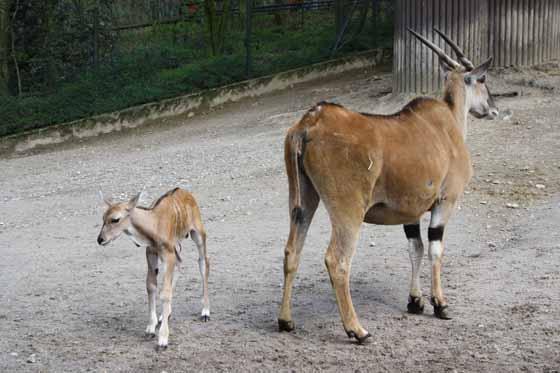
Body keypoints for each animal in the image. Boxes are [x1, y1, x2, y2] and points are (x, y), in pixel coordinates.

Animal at [96, 187, 210, 348]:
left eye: (115, 219)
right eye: (103, 218)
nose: (100, 239)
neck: (154, 224)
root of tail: (185, 192)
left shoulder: (167, 255)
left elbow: (165, 292)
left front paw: (163, 339)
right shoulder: (151, 252)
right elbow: (151, 286)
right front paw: (150, 328)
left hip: (198, 234)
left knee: (203, 262)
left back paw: (205, 312)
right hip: (175, 247)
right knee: (180, 262)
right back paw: (165, 315)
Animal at [278, 28, 496, 342]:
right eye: (482, 79)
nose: (492, 108)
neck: (448, 124)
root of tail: (310, 121)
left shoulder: (410, 212)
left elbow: (416, 247)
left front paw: (415, 301)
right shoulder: (445, 201)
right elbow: (435, 248)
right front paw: (440, 304)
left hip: (303, 202)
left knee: (292, 251)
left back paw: (285, 321)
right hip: (348, 211)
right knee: (337, 260)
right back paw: (357, 330)